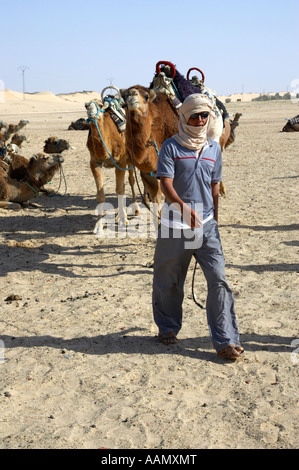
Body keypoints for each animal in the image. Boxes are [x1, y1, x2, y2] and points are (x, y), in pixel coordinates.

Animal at [85, 92, 140, 229]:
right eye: (85, 106)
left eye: (100, 104)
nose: (90, 110)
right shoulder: (94, 162)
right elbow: (100, 195)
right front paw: (99, 225)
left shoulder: (121, 161)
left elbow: (119, 190)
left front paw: (123, 220)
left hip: (131, 159)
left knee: (131, 180)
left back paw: (136, 209)